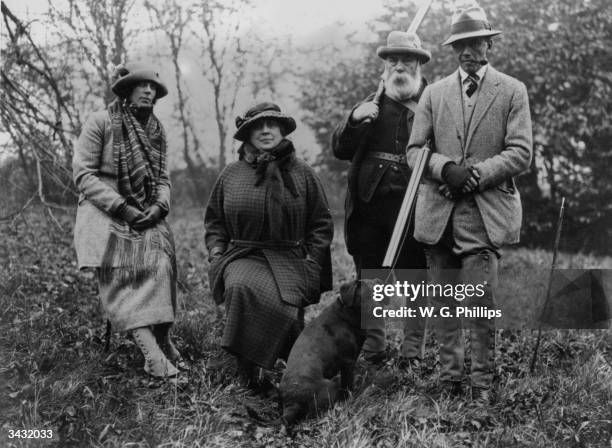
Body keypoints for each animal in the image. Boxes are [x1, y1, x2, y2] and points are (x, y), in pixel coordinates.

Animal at [278, 278, 372, 426]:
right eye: (368, 295)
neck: (346, 314)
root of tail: (292, 403)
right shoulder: (348, 362)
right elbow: (348, 385)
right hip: (330, 386)